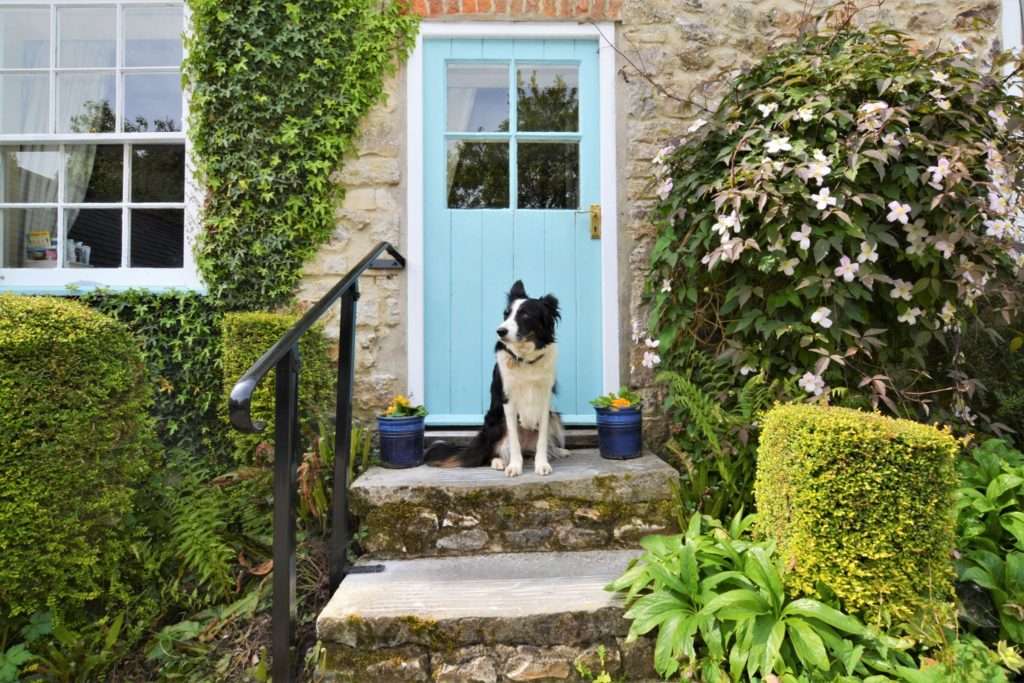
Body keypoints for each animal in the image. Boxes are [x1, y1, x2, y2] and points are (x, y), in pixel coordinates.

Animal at [423, 280, 569, 479]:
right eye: (506, 314)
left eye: (525, 315)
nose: (500, 331)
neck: (526, 359)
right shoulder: (507, 400)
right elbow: (513, 440)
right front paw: (514, 466)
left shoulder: (545, 397)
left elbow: (542, 439)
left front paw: (542, 464)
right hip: (495, 421)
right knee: (493, 452)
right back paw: (499, 462)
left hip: (555, 416)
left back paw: (557, 452)